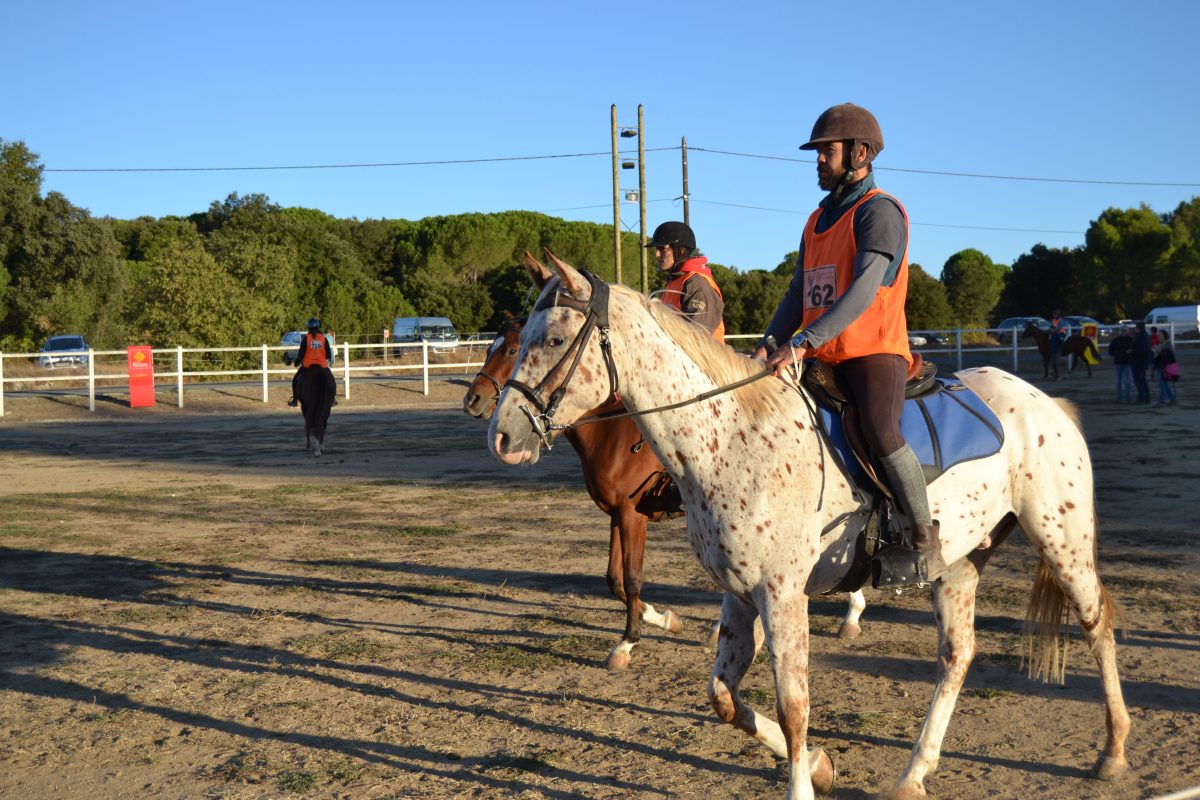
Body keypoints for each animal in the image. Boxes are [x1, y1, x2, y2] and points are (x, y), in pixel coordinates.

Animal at [484, 253, 1123, 800]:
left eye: (553, 339)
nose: (501, 436)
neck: (730, 437)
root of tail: (1043, 401)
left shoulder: (782, 593)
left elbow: (794, 704)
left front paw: (803, 776)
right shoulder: (739, 593)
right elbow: (722, 697)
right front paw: (818, 765)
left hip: (1062, 542)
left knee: (1097, 625)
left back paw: (1113, 750)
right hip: (959, 563)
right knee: (956, 656)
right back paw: (915, 771)